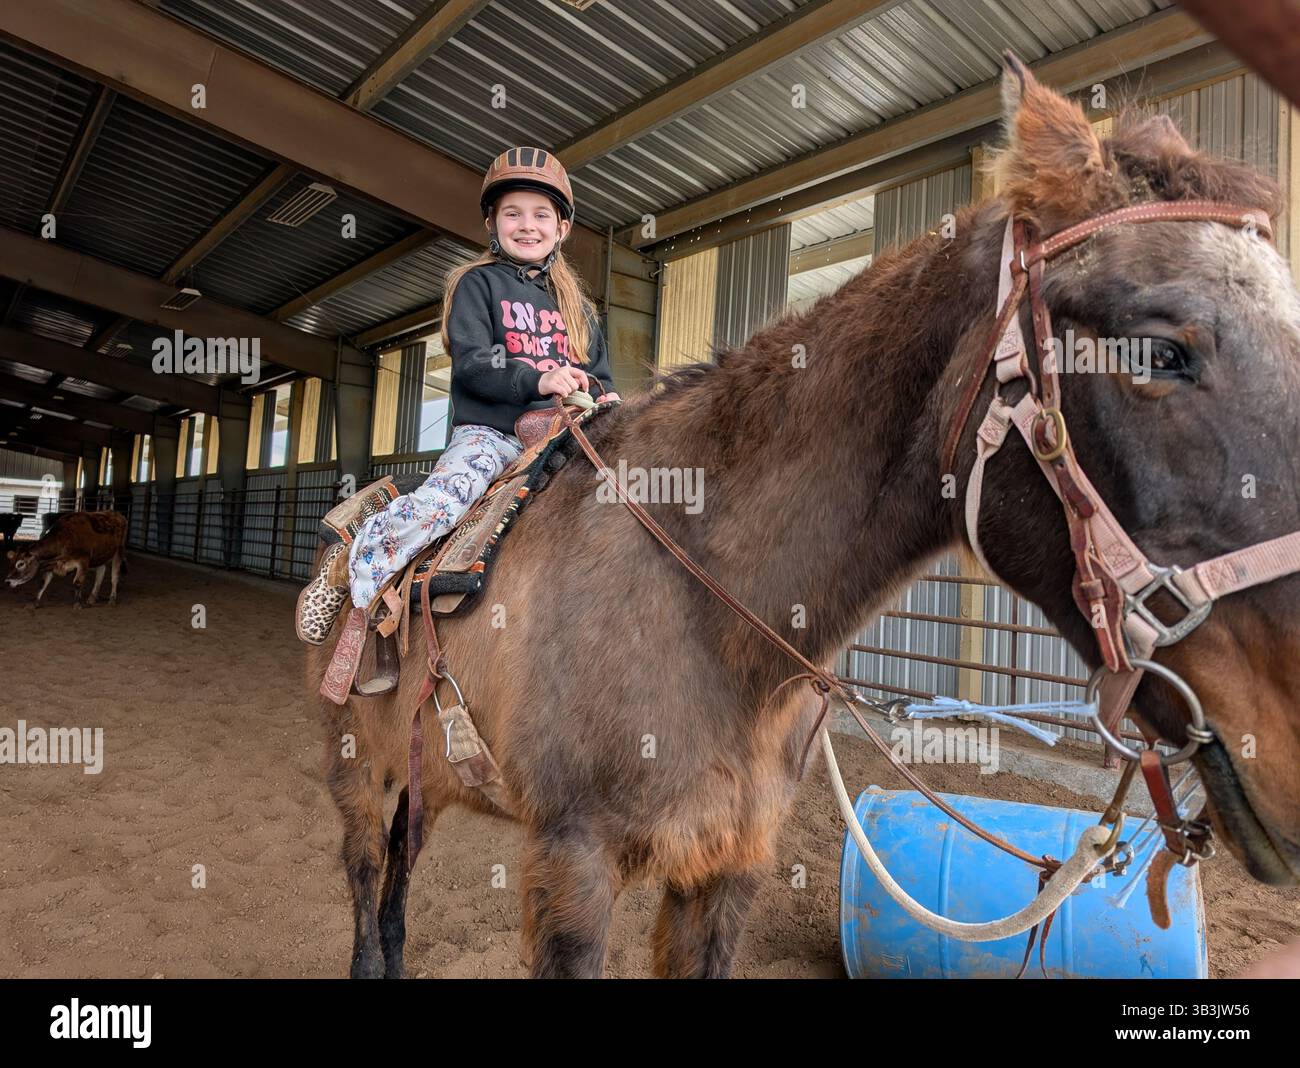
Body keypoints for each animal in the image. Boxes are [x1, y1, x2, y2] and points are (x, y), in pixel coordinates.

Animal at [308, 56, 1300, 978]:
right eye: (1163, 350)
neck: (706, 610)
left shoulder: (728, 866)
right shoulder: (571, 864)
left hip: (422, 786)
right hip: (363, 778)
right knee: (365, 889)